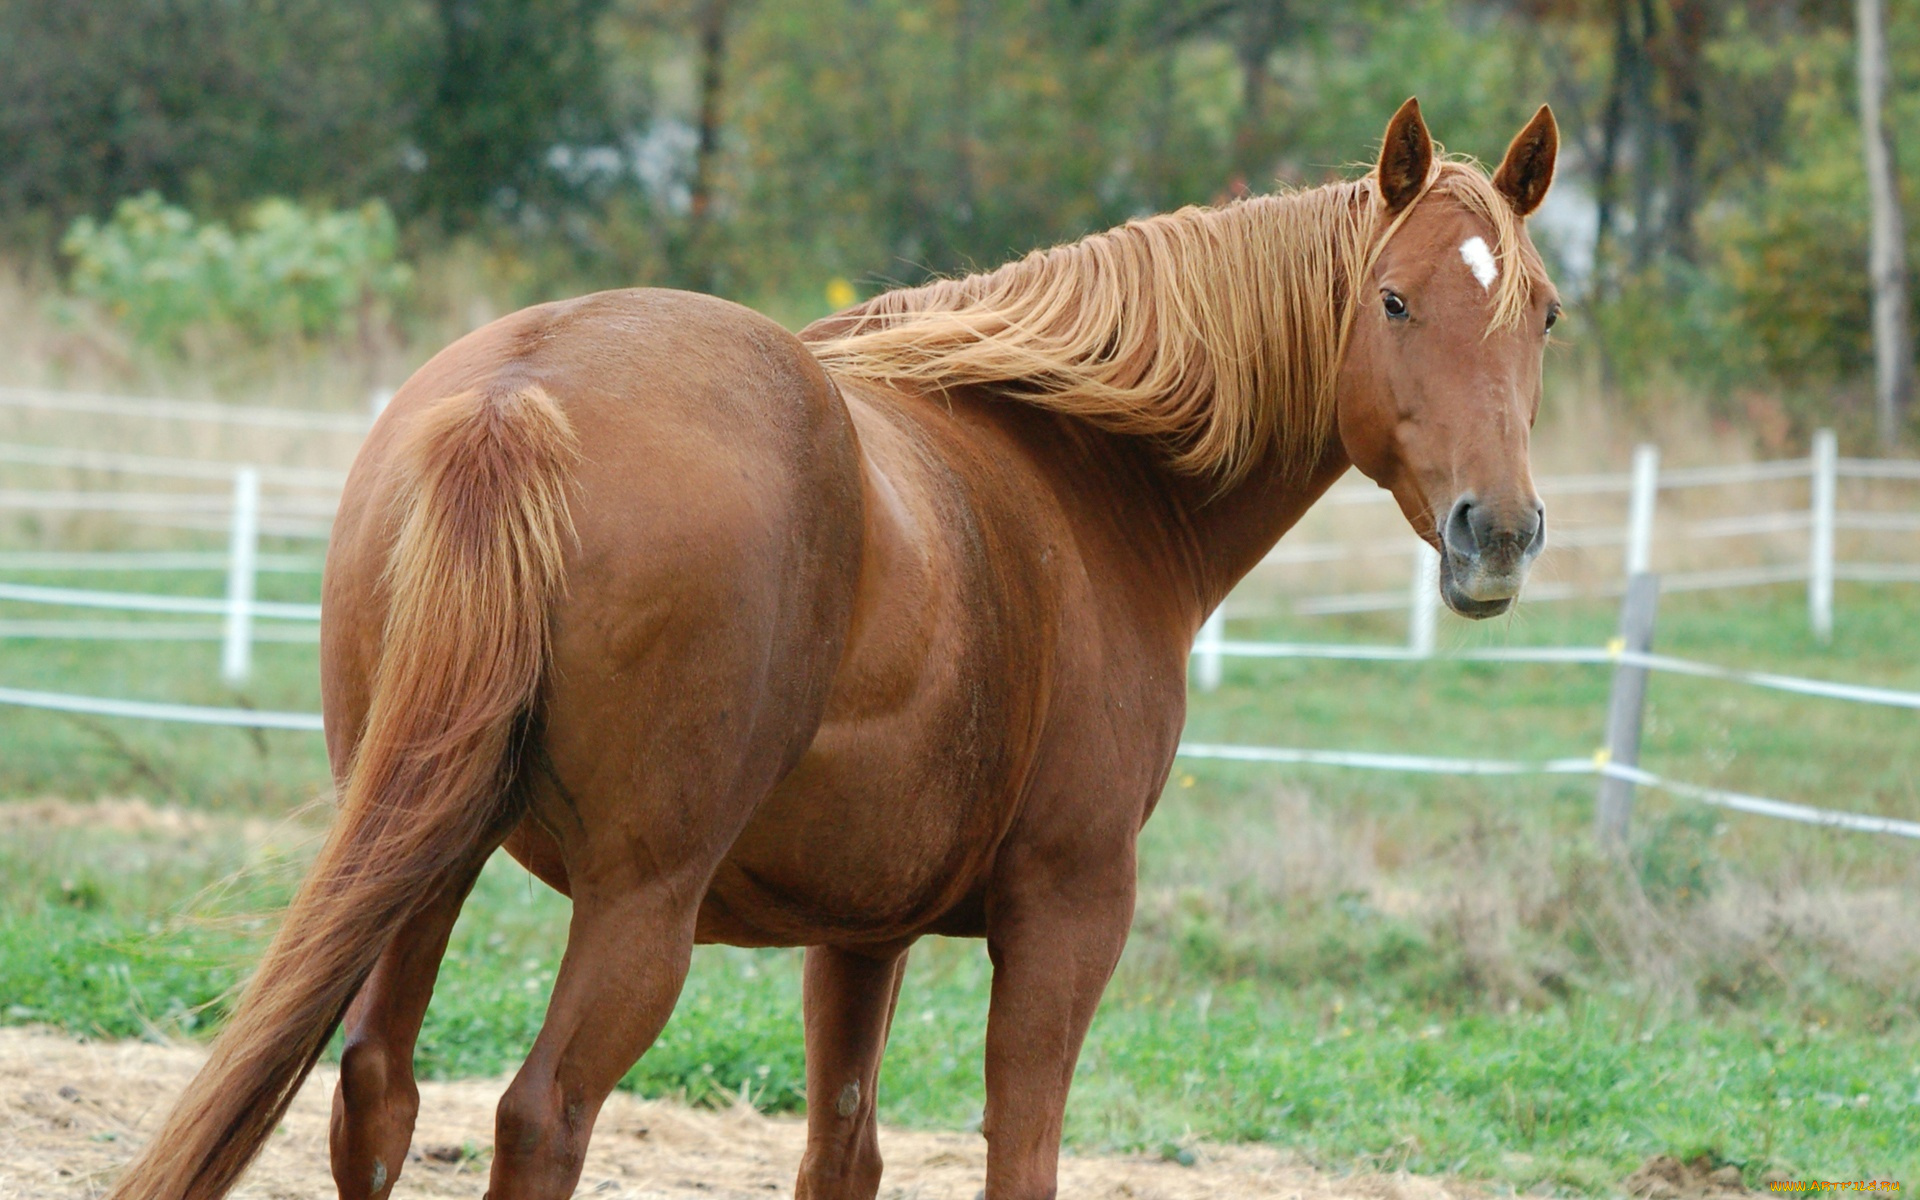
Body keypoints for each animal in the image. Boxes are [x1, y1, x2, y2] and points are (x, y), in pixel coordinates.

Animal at [108, 96, 1559, 1198]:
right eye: (1393, 302)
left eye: (1541, 313)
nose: (1499, 533)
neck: (1088, 475)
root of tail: (522, 393)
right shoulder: (1068, 913)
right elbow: (1019, 1156)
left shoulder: (862, 938)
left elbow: (842, 1154)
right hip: (637, 910)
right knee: (540, 1115)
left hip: (428, 849)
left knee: (377, 1092)